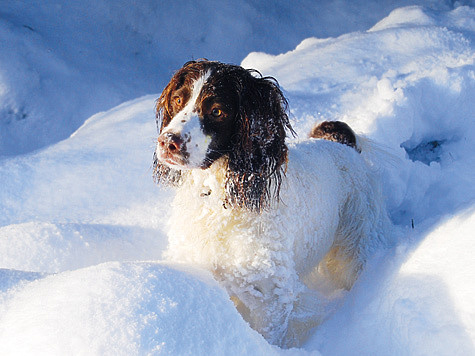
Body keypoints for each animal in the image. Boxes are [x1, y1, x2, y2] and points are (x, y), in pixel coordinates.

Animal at [152, 59, 390, 346]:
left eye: (217, 111)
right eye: (178, 99)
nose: (167, 142)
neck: (221, 200)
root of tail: (342, 144)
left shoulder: (271, 298)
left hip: (357, 245)